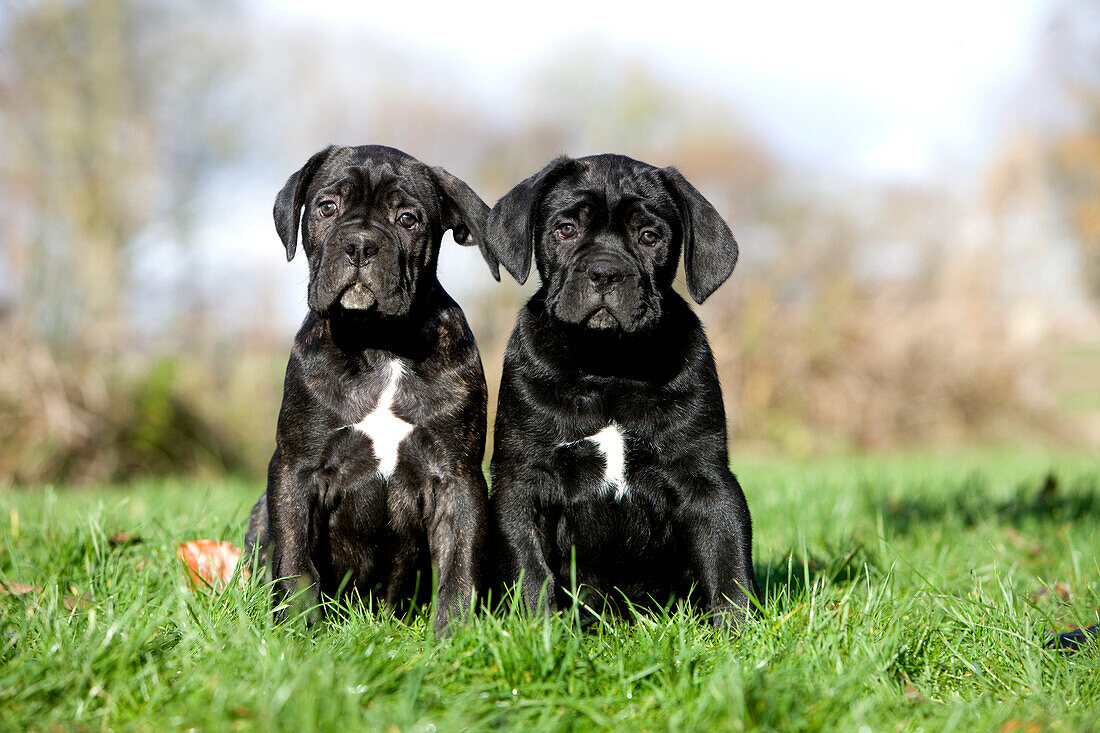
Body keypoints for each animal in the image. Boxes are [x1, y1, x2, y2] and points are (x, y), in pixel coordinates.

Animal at [245, 144, 495, 633]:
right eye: (327, 207)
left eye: (408, 219)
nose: (360, 244)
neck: (377, 343)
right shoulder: (295, 471)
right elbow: (295, 560)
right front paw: (297, 631)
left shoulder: (457, 479)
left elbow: (460, 567)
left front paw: (454, 635)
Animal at [486, 150, 761, 625]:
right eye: (565, 229)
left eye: (649, 237)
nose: (605, 272)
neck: (608, 365)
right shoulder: (522, 480)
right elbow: (530, 569)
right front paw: (538, 630)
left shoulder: (707, 480)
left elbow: (728, 563)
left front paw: (739, 631)